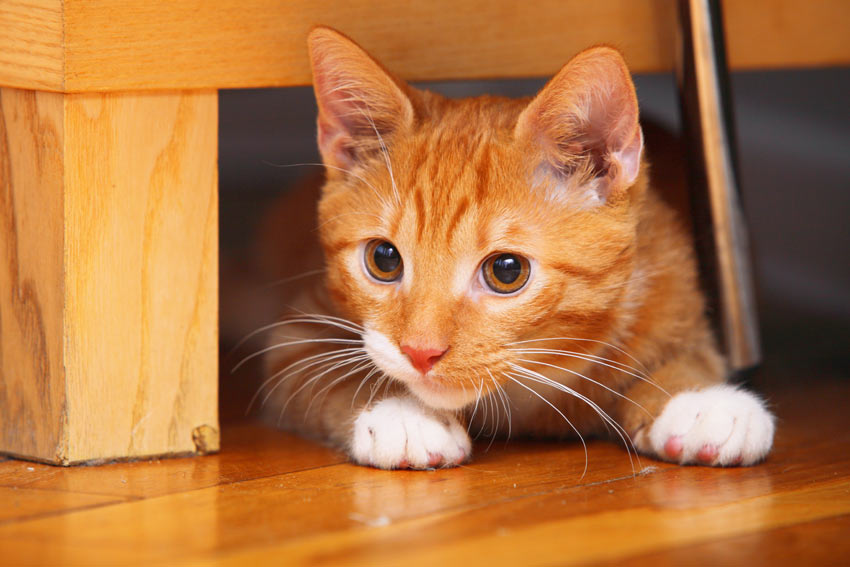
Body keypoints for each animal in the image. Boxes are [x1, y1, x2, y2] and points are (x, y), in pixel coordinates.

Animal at [255, 26, 772, 470]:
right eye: (383, 260)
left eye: (506, 271)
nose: (421, 352)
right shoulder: (297, 333)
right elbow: (326, 370)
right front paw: (400, 413)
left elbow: (694, 351)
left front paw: (698, 399)